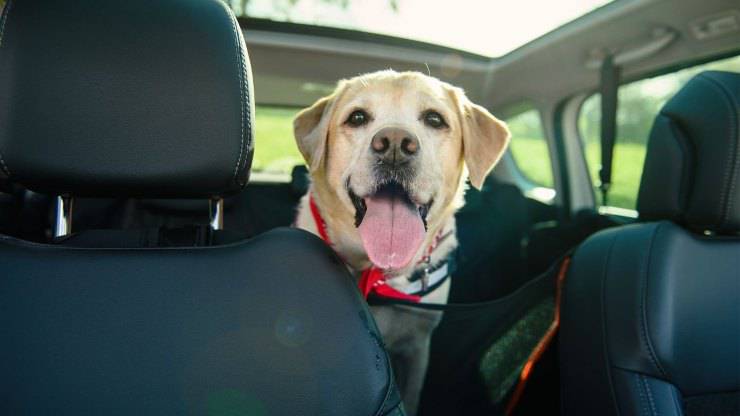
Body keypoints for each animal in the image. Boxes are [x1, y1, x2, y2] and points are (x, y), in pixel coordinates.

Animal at [293, 70, 510, 415]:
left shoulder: (418, 345)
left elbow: (412, 392)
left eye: (434, 119)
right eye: (357, 117)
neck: (375, 272)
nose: (394, 143)